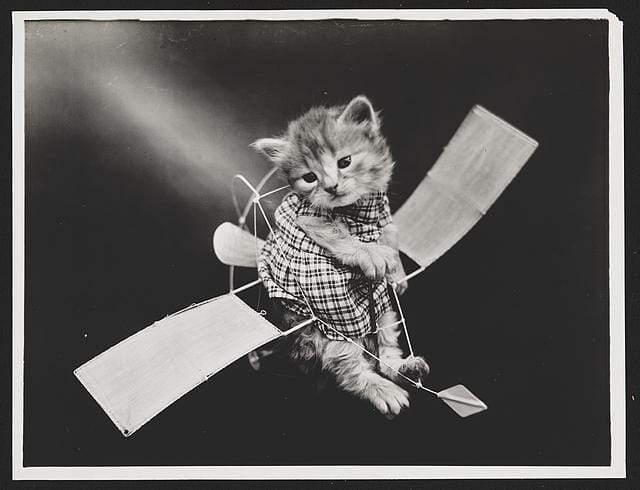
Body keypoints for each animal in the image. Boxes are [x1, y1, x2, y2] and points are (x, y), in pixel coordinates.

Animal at [252, 95, 428, 418]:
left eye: (344, 162)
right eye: (310, 178)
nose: (331, 187)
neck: (359, 207)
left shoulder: (383, 215)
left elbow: (390, 235)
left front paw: (395, 272)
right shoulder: (309, 219)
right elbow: (342, 237)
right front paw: (372, 255)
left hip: (381, 311)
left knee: (385, 348)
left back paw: (404, 369)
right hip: (333, 331)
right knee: (349, 371)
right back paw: (384, 390)